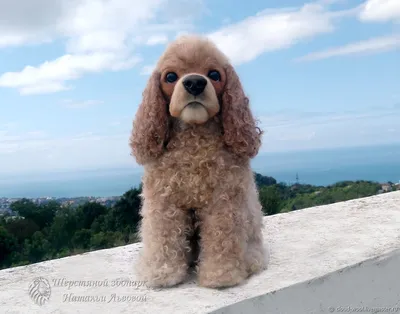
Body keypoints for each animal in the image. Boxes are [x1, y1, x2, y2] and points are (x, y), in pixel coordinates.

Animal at [131, 35, 268, 290]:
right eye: (170, 77)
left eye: (214, 74)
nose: (194, 83)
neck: (194, 138)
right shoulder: (162, 201)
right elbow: (162, 235)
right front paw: (162, 273)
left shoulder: (224, 201)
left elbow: (222, 237)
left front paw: (221, 275)